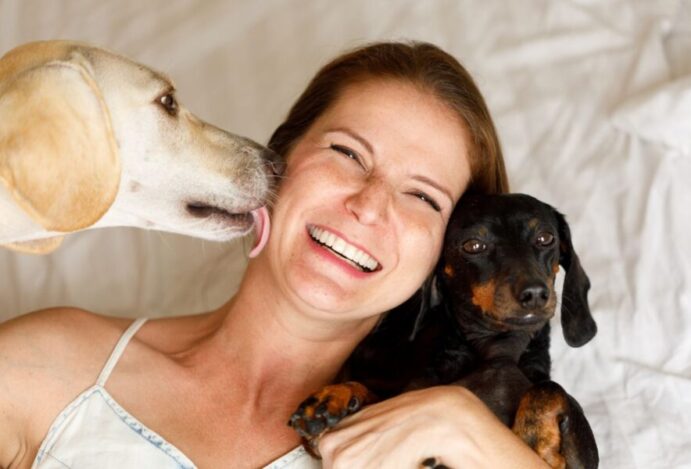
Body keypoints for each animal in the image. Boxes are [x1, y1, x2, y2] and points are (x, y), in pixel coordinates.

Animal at [289, 193, 599, 469]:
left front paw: (535, 436)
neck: (498, 352)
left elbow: (551, 388)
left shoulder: (585, 461)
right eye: (474, 245)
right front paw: (334, 399)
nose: (534, 293)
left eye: (546, 238)